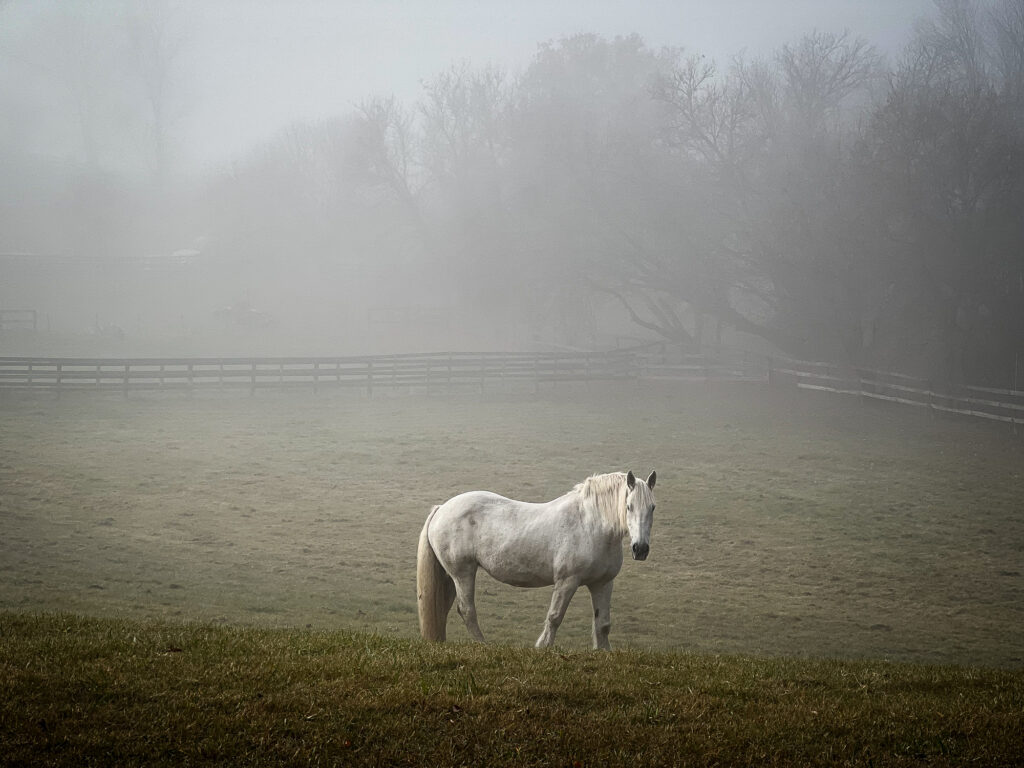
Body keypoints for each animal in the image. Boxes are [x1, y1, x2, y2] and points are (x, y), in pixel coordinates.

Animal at [413, 468, 655, 651]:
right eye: (628, 506)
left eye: (652, 507)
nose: (640, 549)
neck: (590, 524)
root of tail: (441, 509)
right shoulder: (567, 581)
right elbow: (555, 616)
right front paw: (542, 647)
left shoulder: (603, 583)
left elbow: (602, 623)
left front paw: (603, 651)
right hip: (463, 573)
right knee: (467, 610)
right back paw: (484, 644)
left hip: (450, 576)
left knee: (444, 607)